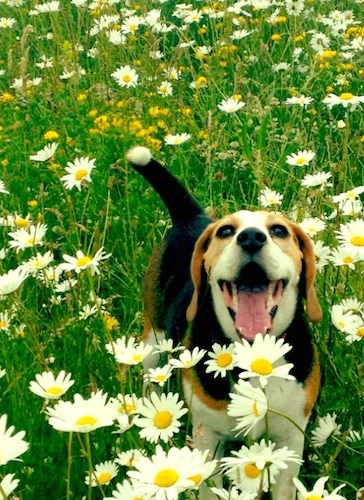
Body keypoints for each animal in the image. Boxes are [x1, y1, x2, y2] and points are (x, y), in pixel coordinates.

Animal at [126, 146, 322, 498]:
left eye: (279, 230)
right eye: (226, 232)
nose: (251, 237)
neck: (255, 357)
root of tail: (191, 217)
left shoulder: (290, 439)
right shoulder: (208, 440)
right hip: (152, 341)